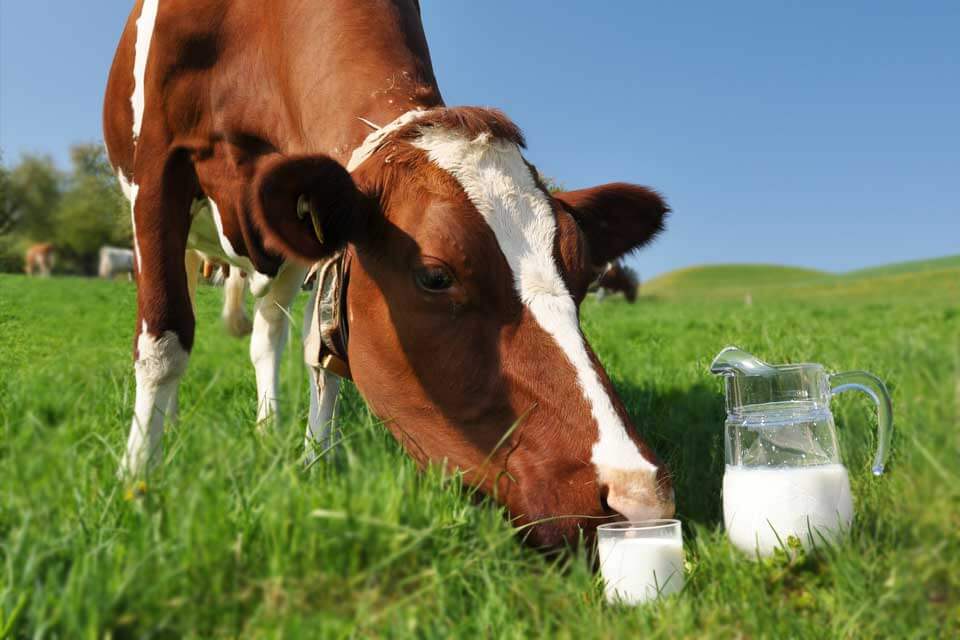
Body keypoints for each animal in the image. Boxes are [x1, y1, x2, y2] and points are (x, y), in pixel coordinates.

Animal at [103, 0, 673, 547]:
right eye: (435, 276)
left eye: (581, 275)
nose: (638, 495)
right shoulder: (156, 170)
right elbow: (164, 340)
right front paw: (137, 482)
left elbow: (324, 355)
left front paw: (316, 462)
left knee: (270, 334)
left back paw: (268, 428)